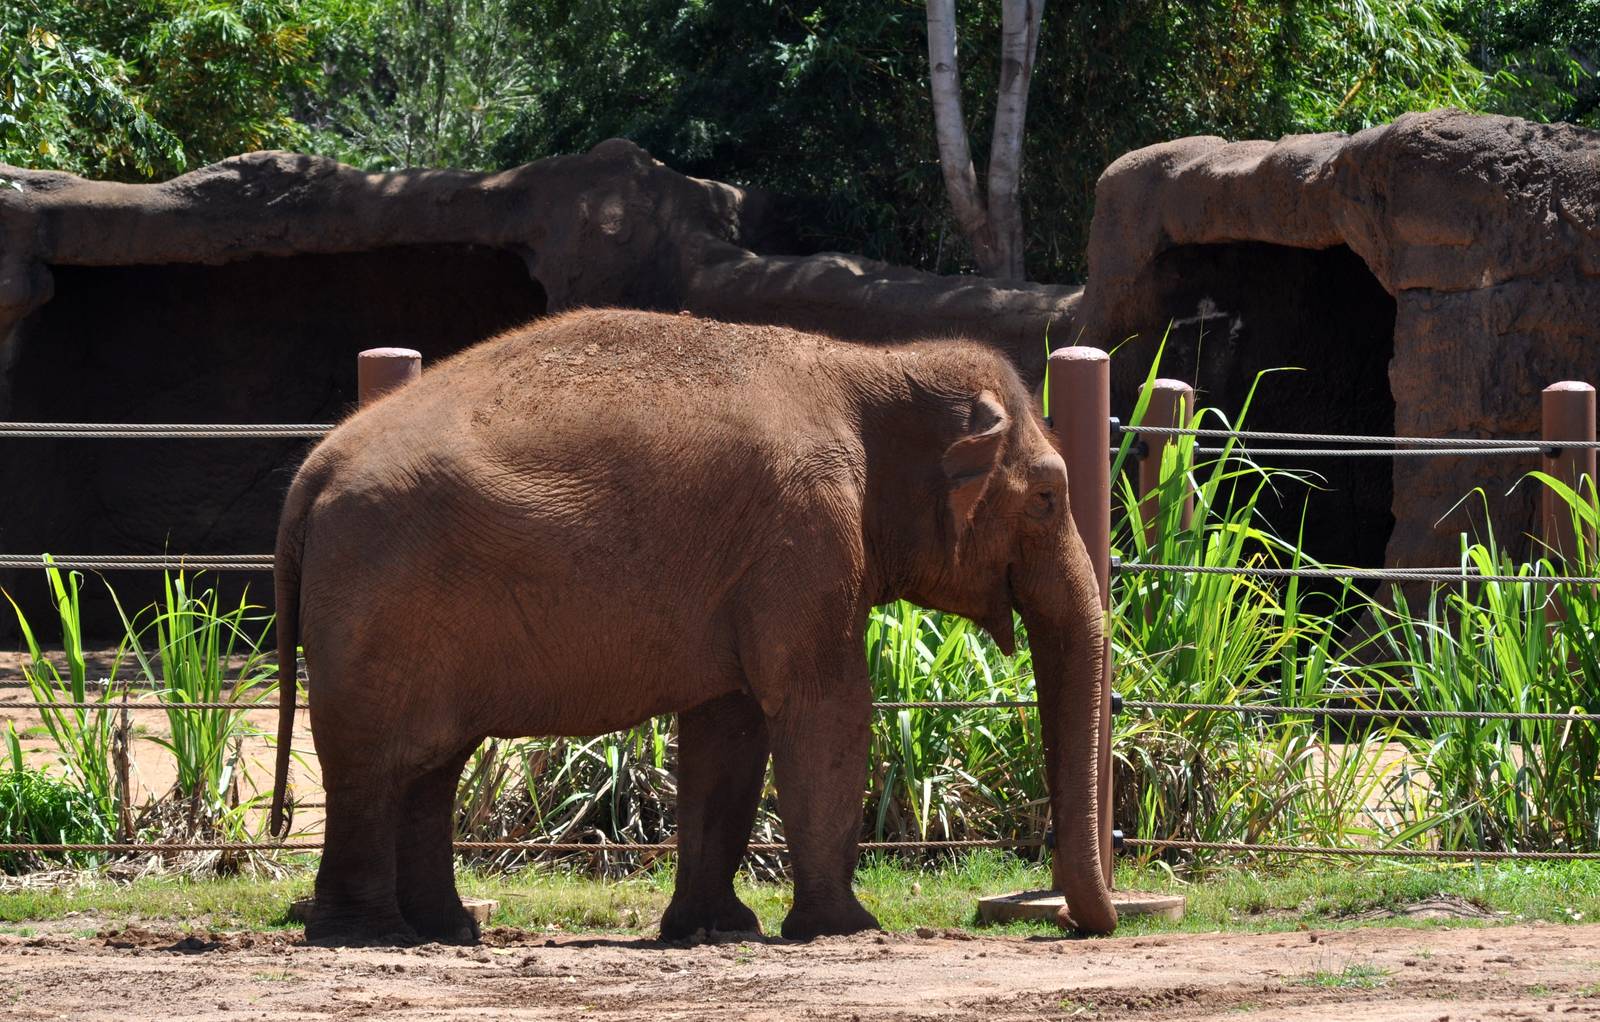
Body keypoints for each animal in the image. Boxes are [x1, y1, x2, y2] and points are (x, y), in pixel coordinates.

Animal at [267, 308, 1116, 945]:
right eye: (1048, 497)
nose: (1084, 926)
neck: (873, 366)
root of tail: (314, 470)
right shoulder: (804, 532)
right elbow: (826, 706)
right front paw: (848, 929)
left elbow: (730, 727)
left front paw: (718, 930)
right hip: (382, 602)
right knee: (378, 759)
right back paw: (371, 935)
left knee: (431, 761)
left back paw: (444, 932)